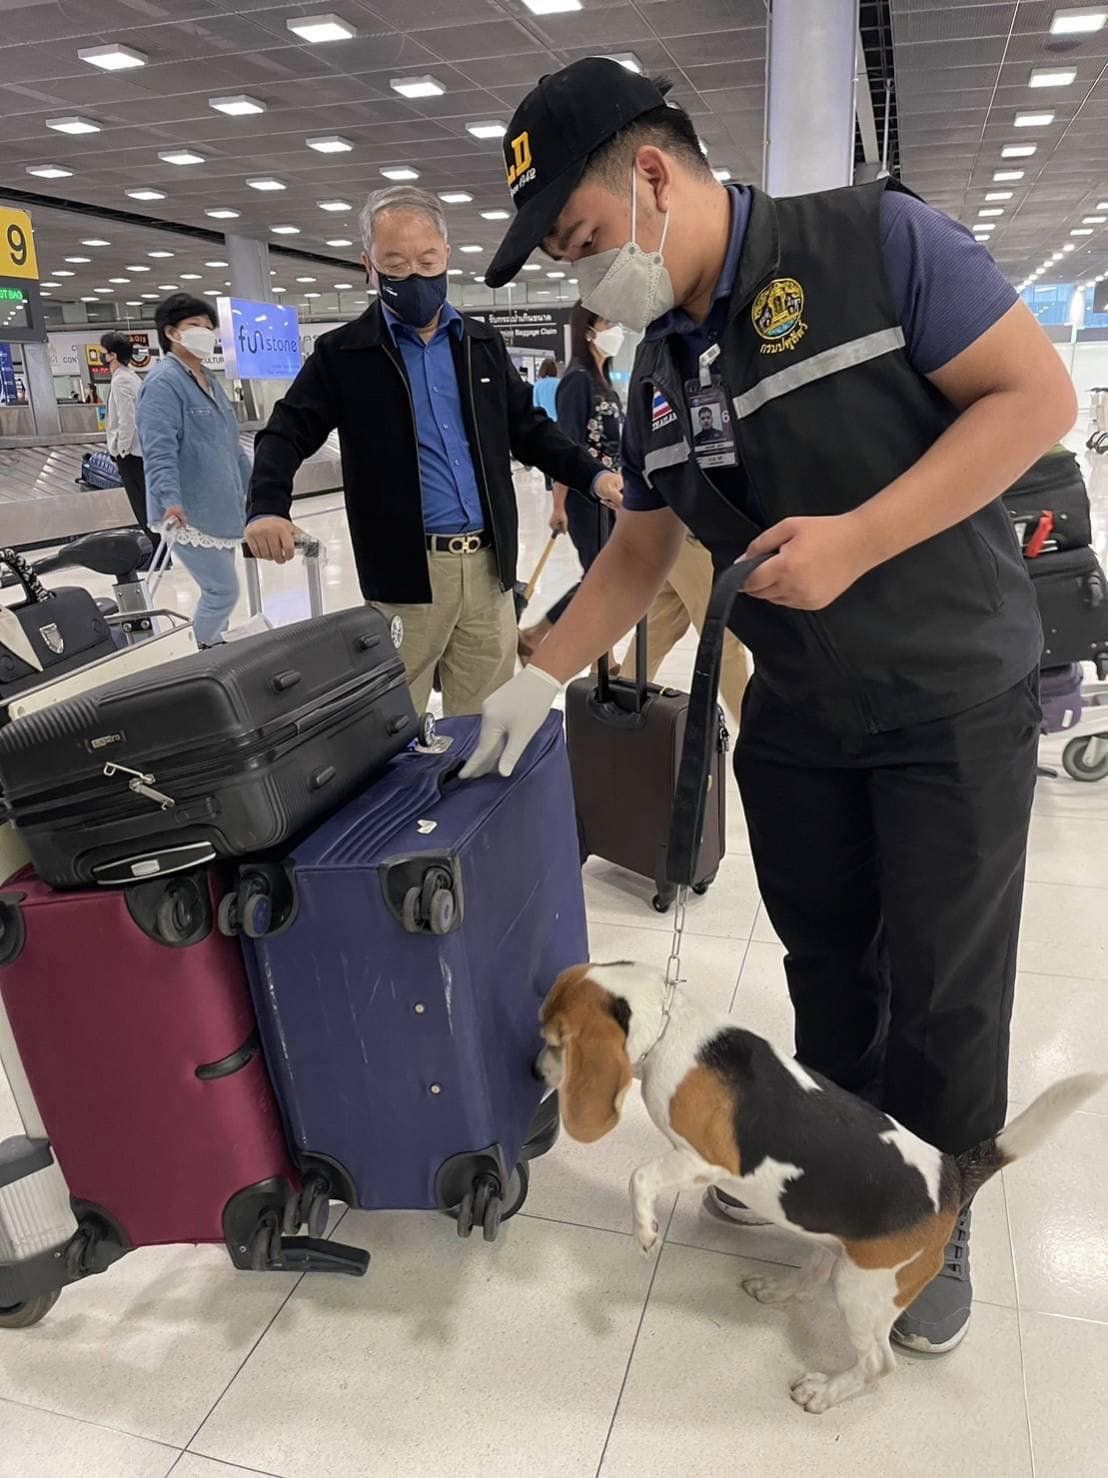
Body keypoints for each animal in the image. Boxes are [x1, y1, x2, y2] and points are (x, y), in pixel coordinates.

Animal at [537, 963, 1105, 1412]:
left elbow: (640, 1177)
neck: (672, 1022)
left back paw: (827, 1392)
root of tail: (952, 1175)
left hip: (865, 1289)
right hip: (837, 1247)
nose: (533, 1069)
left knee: (879, 1364)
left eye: (554, 1042)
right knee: (812, 1280)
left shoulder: (705, 1159)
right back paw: (778, 1291)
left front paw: (645, 1231)